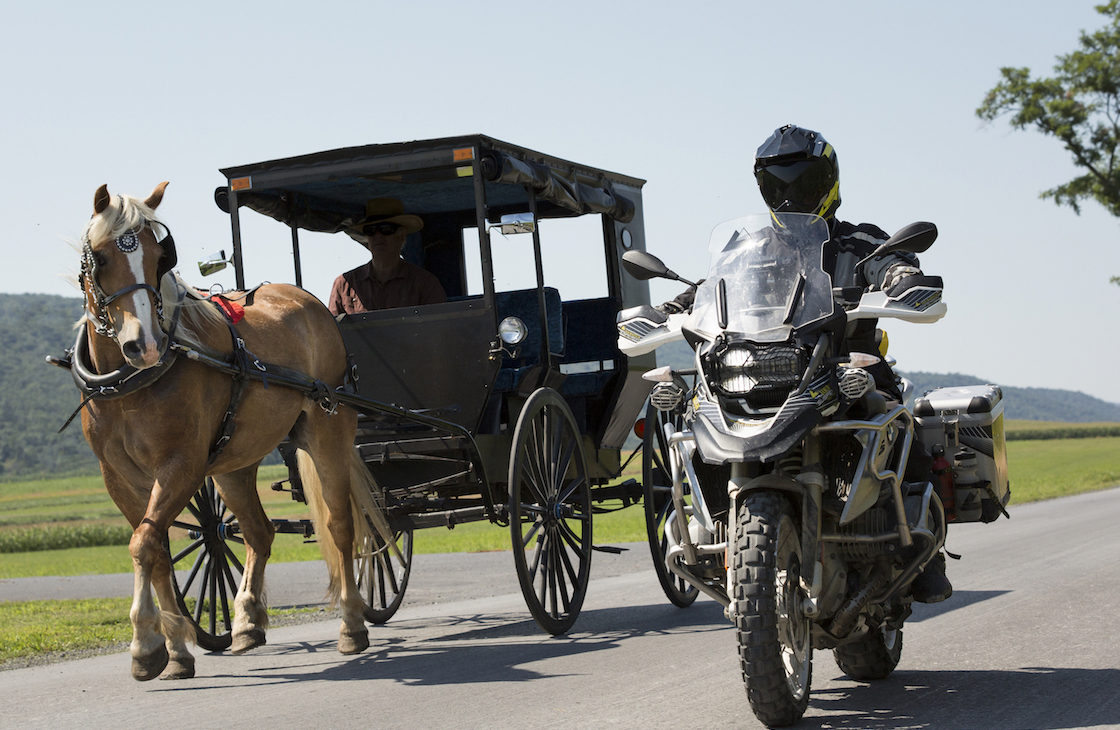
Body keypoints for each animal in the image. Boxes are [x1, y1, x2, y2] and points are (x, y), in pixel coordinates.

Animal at [75, 181, 380, 680]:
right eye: (99, 258)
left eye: (160, 257)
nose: (144, 345)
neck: (131, 384)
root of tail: (308, 301)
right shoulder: (118, 477)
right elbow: (156, 548)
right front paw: (176, 651)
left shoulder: (181, 466)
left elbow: (143, 543)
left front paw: (145, 645)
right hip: (233, 463)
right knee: (258, 531)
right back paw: (247, 621)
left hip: (328, 428)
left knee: (339, 524)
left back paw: (352, 624)